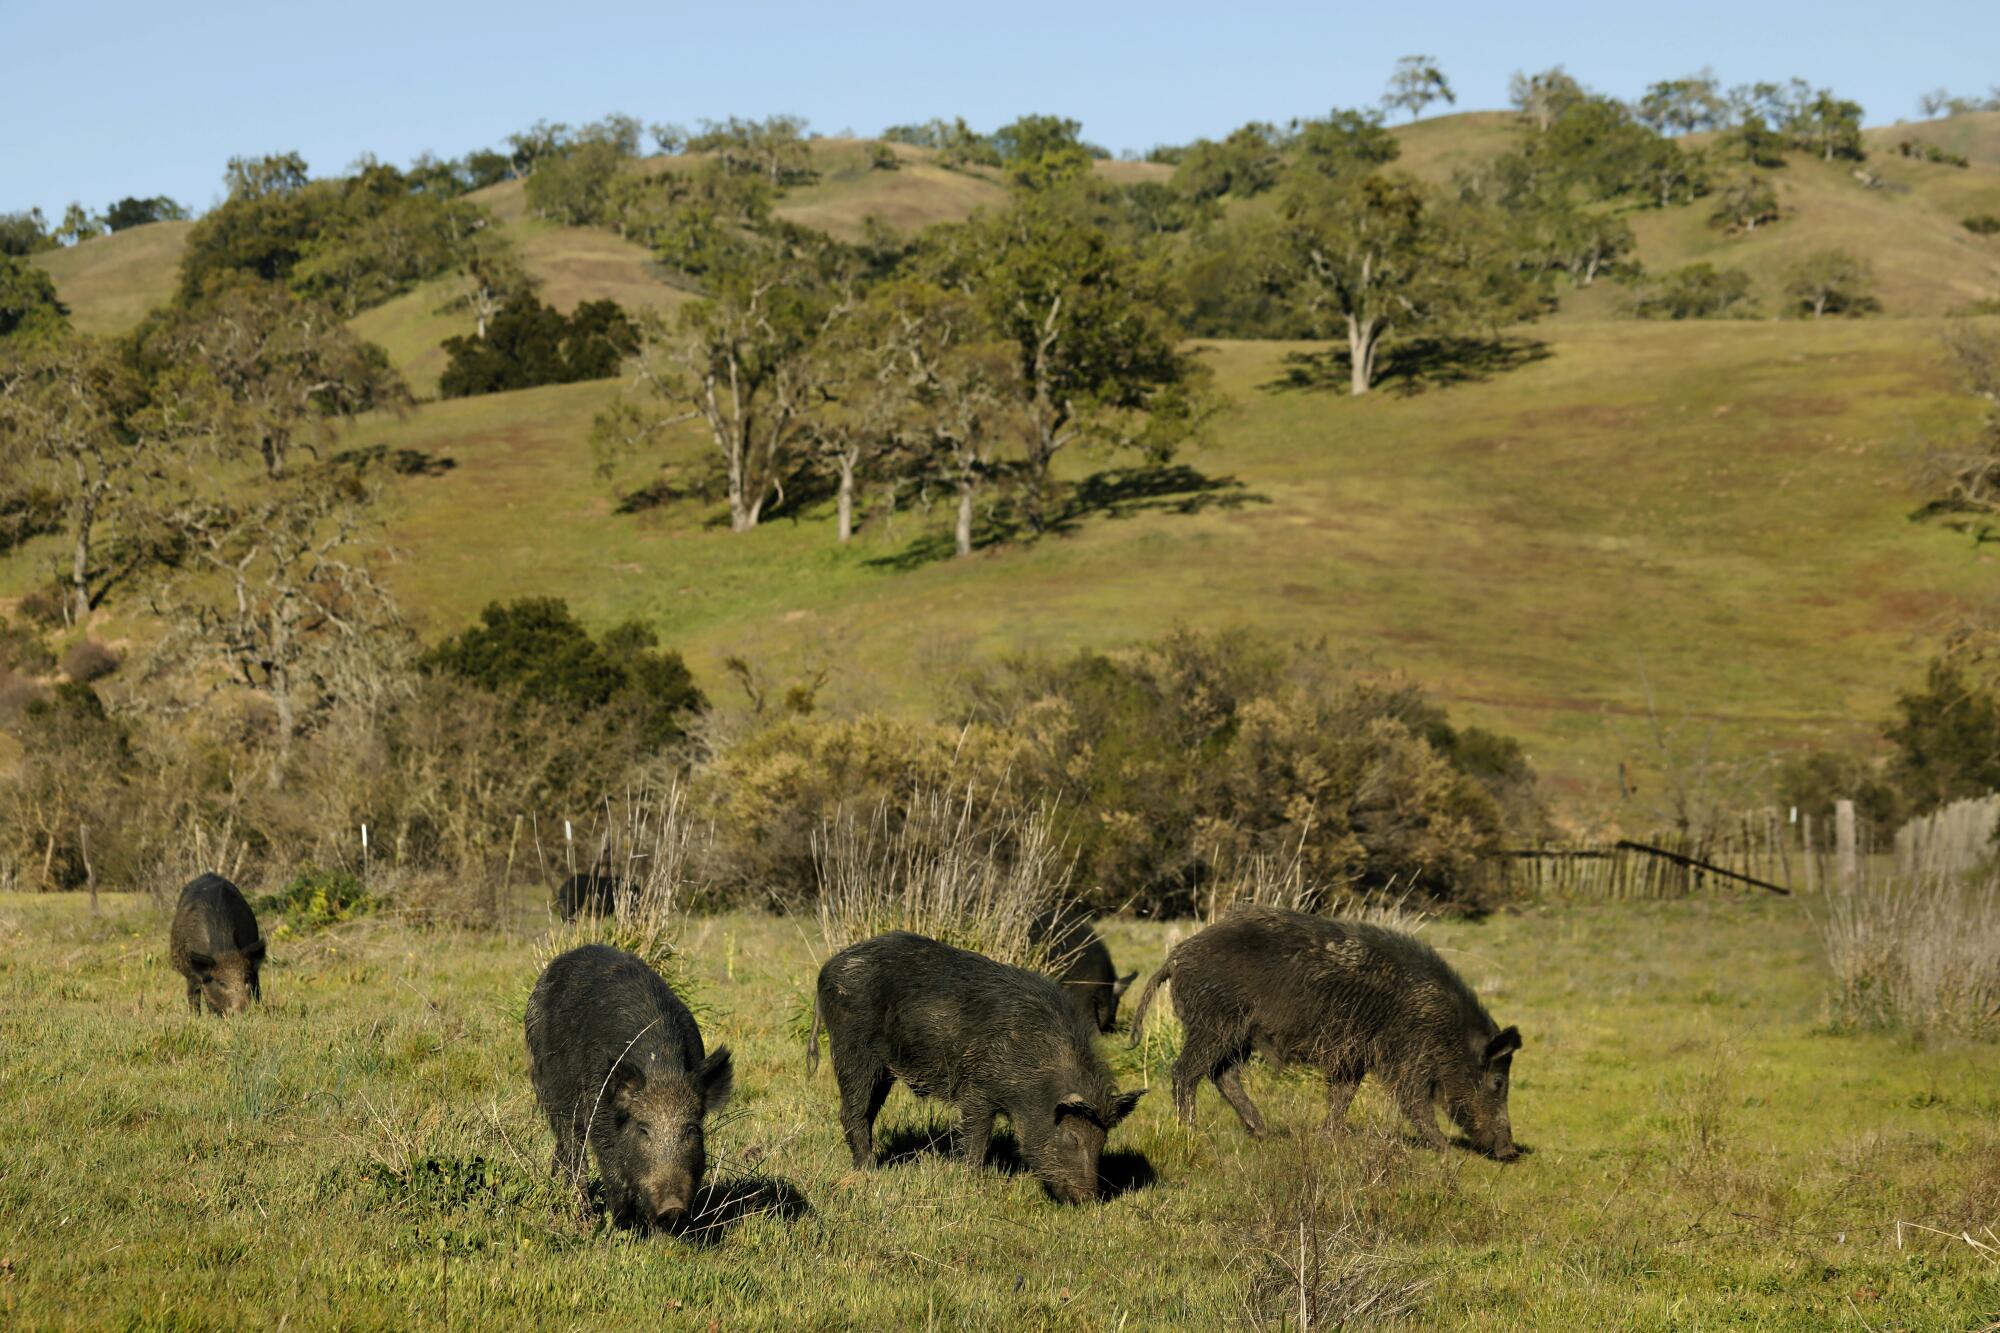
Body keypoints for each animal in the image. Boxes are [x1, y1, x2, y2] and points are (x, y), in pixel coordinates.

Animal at [524, 940, 736, 1232]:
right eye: (643, 1129)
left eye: (691, 1130)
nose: (673, 1208)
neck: (661, 1067)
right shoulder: (599, 1107)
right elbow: (611, 1165)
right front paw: (625, 1226)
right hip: (549, 1087)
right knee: (571, 1143)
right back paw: (582, 1215)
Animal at [800, 924, 1144, 1200]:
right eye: (1072, 1138)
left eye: (1102, 1140)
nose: (1089, 1199)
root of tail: (827, 968)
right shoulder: (978, 1089)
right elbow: (977, 1138)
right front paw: (973, 1182)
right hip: (853, 1050)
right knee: (852, 1111)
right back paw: (869, 1170)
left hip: (881, 1068)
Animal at [1136, 904, 1520, 1152]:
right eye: (1498, 1083)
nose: (1509, 1150)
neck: (1447, 1028)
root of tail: (1175, 957)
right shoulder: (1407, 1056)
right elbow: (1413, 1100)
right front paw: (1443, 1150)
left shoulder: (1353, 1058)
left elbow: (1343, 1096)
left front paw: (1332, 1138)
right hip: (1214, 1024)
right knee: (1184, 1071)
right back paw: (1192, 1134)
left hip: (1240, 1034)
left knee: (1223, 1075)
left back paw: (1263, 1134)